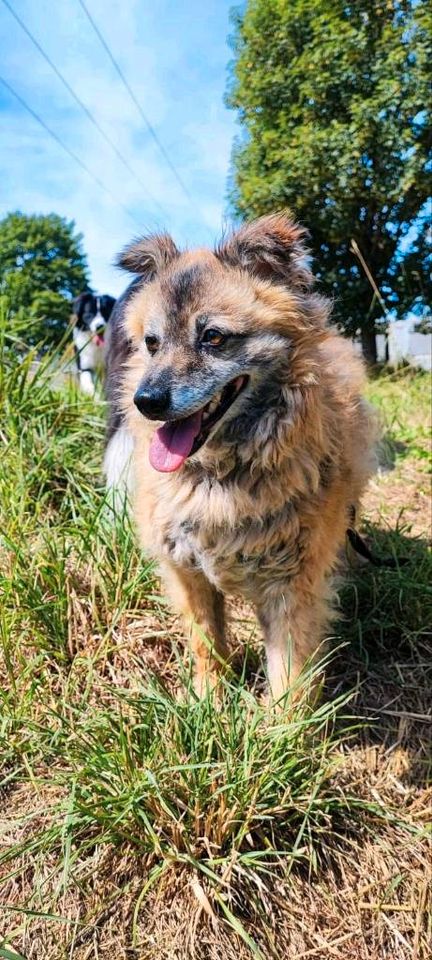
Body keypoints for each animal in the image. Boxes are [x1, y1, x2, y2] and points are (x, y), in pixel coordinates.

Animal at [104, 214, 374, 700]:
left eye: (213, 337)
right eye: (151, 343)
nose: (146, 402)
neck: (220, 477)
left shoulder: (294, 581)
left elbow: (289, 668)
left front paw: (283, 720)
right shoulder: (186, 570)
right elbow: (205, 639)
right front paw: (209, 700)